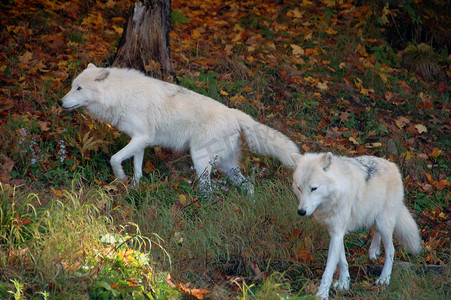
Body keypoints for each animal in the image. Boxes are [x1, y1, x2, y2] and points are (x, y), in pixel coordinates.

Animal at [60, 64, 300, 193]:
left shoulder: (141, 138)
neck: (121, 94)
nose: (60, 102)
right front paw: (135, 187)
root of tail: (234, 113)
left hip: (201, 160)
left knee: (209, 191)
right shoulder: (141, 141)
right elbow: (137, 168)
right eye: (72, 87)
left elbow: (114, 158)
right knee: (248, 185)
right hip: (226, 166)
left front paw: (120, 177)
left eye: (79, 88)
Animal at [292, 154, 422, 298]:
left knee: (391, 251)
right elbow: (342, 261)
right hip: (372, 217)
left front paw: (322, 294)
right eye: (299, 188)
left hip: (384, 223)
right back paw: (373, 251)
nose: (301, 212)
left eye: (314, 188)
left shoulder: (337, 232)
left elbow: (329, 269)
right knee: (376, 232)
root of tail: (393, 165)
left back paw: (384, 279)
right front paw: (344, 283)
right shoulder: (336, 232)